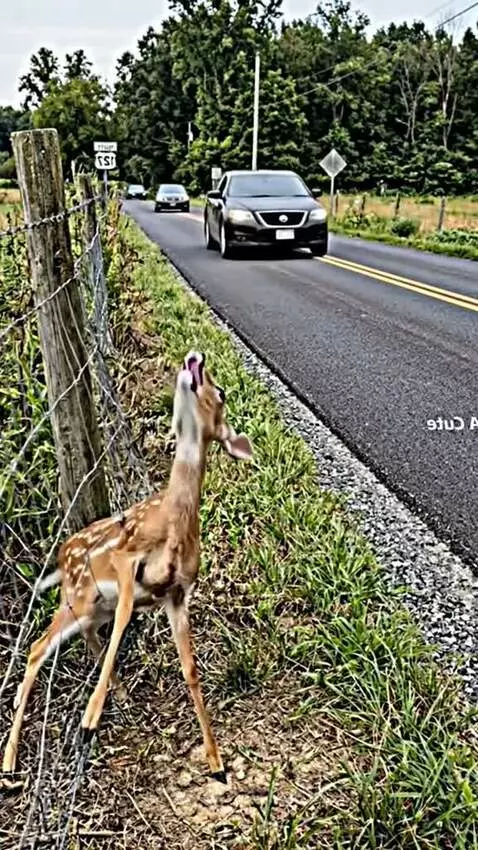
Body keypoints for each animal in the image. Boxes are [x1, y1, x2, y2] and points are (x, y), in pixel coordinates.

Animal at [2, 351, 253, 787]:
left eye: (219, 391)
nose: (196, 356)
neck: (172, 523)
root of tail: (61, 555)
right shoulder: (125, 558)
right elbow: (123, 623)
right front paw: (89, 718)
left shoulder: (176, 593)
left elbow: (190, 669)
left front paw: (217, 762)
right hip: (78, 597)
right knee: (37, 648)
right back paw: (10, 760)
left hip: (88, 608)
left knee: (83, 636)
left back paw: (118, 693)